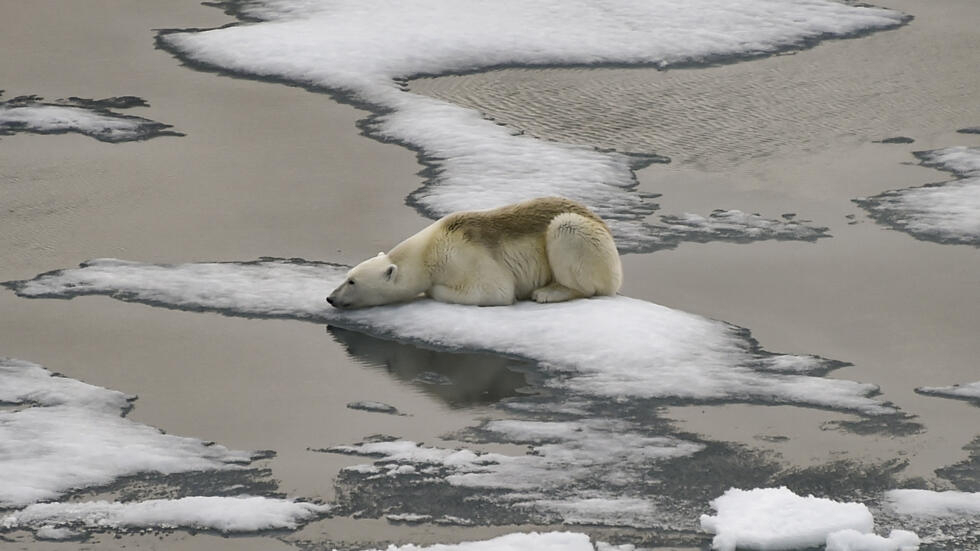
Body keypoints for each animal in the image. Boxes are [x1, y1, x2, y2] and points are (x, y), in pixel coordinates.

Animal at [328, 197, 620, 310]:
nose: (330, 298)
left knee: (567, 231)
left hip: (588, 239)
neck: (429, 249)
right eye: (348, 275)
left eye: (352, 281)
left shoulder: (464, 255)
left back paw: (549, 292)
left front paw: (432, 290)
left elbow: (495, 290)